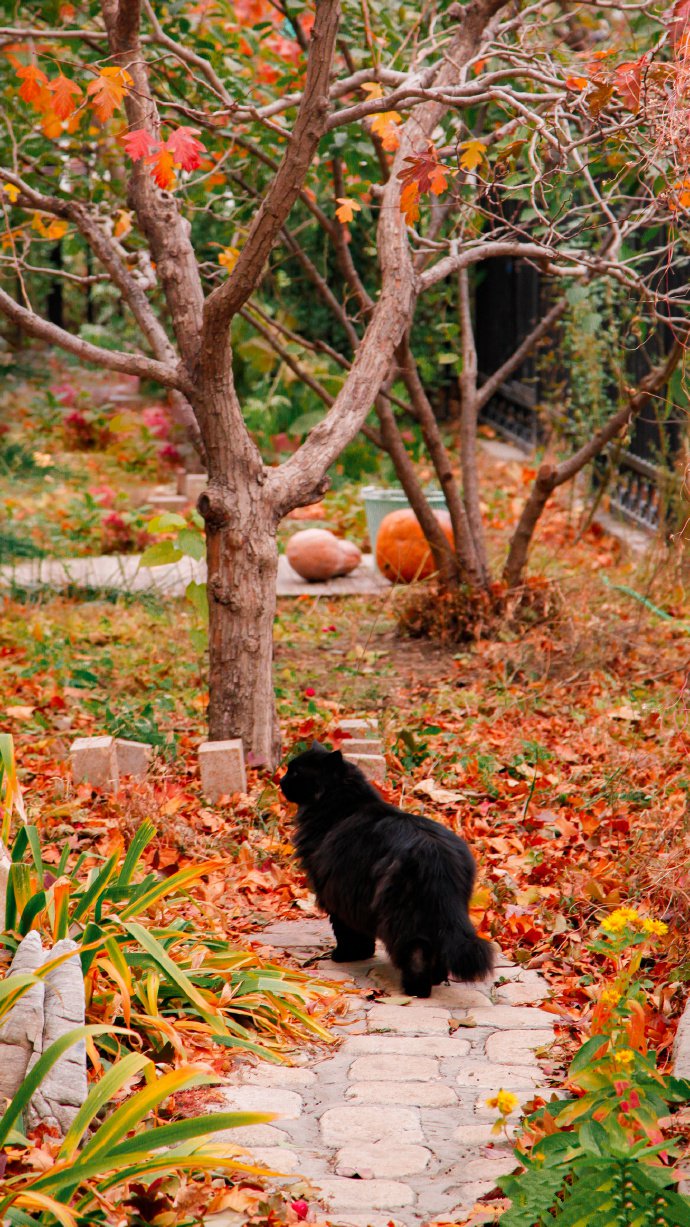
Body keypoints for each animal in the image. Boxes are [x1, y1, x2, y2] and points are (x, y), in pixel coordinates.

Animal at [276, 736, 491, 996]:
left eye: (296, 772)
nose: (281, 781)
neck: (340, 806)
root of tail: (436, 854)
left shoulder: (338, 893)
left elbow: (346, 931)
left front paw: (345, 955)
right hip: (439, 914)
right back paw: (437, 979)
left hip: (403, 915)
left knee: (416, 951)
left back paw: (417, 989)